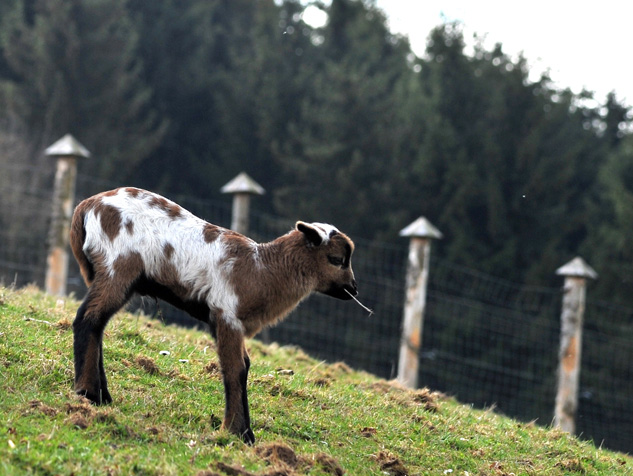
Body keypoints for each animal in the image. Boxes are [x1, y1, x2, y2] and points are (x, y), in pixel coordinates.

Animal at [70, 186, 356, 442]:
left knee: (98, 325)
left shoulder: (231, 322)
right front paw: (238, 432)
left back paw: (102, 395)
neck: (262, 269)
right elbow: (235, 368)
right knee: (88, 319)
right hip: (117, 267)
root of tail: (87, 206)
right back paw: (88, 393)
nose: (353, 289)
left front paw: (242, 431)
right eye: (336, 259)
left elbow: (244, 366)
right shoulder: (226, 315)